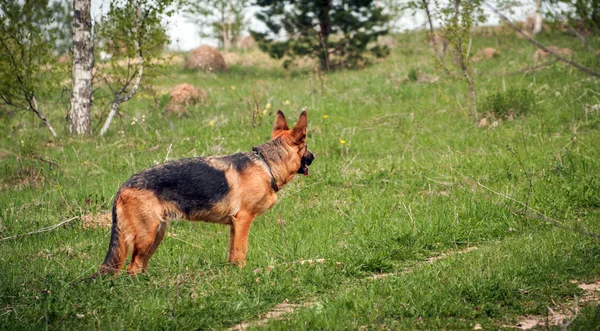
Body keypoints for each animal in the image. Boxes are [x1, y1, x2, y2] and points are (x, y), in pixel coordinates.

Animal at [97, 111, 314, 278]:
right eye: (306, 146)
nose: (314, 157)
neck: (267, 164)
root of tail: (123, 187)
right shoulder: (243, 220)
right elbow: (241, 253)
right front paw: (243, 275)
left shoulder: (234, 225)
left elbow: (232, 254)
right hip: (147, 236)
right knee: (132, 268)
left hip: (157, 234)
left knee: (139, 266)